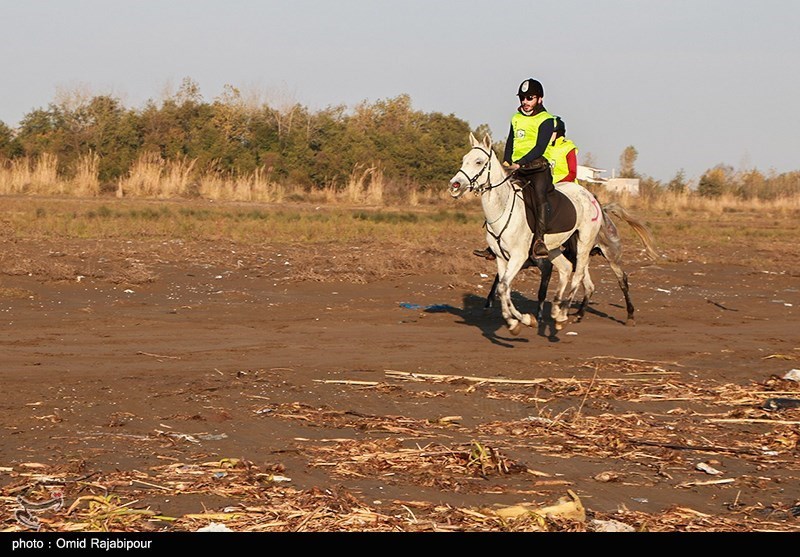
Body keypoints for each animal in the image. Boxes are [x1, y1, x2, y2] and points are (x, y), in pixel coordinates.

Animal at [450, 134, 608, 334]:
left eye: (479, 162)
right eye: (464, 159)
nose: (454, 185)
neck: (504, 208)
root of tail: (589, 195)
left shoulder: (518, 256)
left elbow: (503, 287)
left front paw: (519, 321)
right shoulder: (501, 258)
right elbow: (503, 288)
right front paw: (519, 321)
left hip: (583, 244)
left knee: (578, 275)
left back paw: (562, 315)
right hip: (553, 249)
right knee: (565, 269)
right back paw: (555, 310)